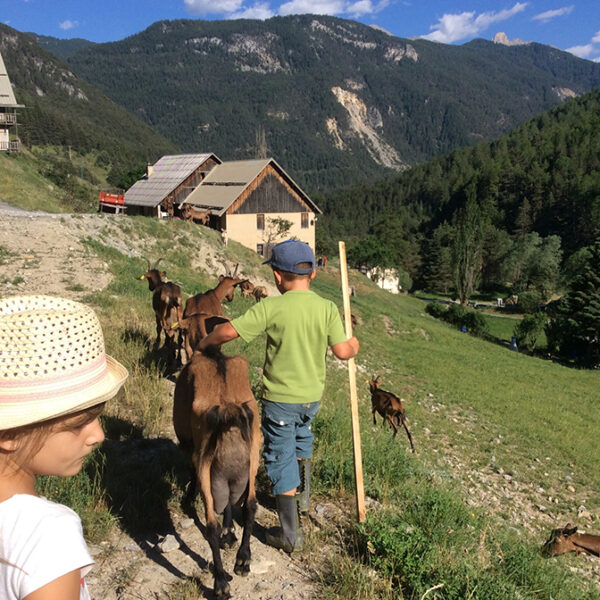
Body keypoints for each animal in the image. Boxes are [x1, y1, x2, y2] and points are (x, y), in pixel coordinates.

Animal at [172, 346, 258, 600]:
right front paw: (230, 534)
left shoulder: (191, 449)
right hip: (253, 458)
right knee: (250, 506)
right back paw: (243, 560)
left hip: (204, 462)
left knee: (211, 524)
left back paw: (220, 583)